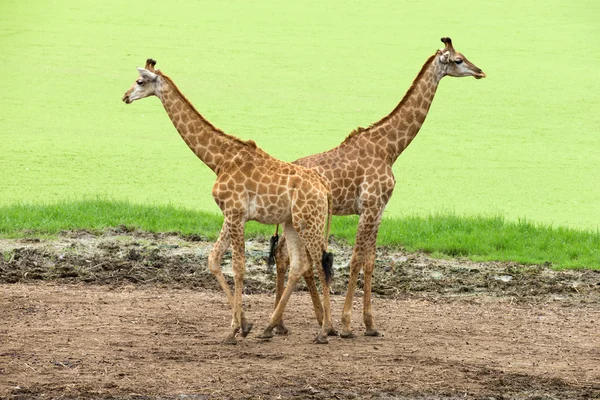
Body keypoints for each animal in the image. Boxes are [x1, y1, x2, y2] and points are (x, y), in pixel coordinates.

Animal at [122, 58, 338, 344]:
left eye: (139, 81)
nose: (125, 96)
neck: (218, 159)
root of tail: (325, 189)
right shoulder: (231, 214)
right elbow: (213, 260)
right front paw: (245, 325)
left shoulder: (235, 213)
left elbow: (238, 267)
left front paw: (232, 331)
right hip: (292, 222)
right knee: (300, 265)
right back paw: (270, 328)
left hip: (309, 221)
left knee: (321, 264)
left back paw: (324, 331)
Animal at [272, 36, 488, 338]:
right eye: (458, 59)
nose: (480, 71)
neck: (389, 149)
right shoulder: (369, 206)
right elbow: (355, 260)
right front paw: (347, 325)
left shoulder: (380, 210)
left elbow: (371, 261)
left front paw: (370, 325)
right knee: (294, 258)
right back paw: (310, 322)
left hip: (293, 218)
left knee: (284, 255)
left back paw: (283, 323)